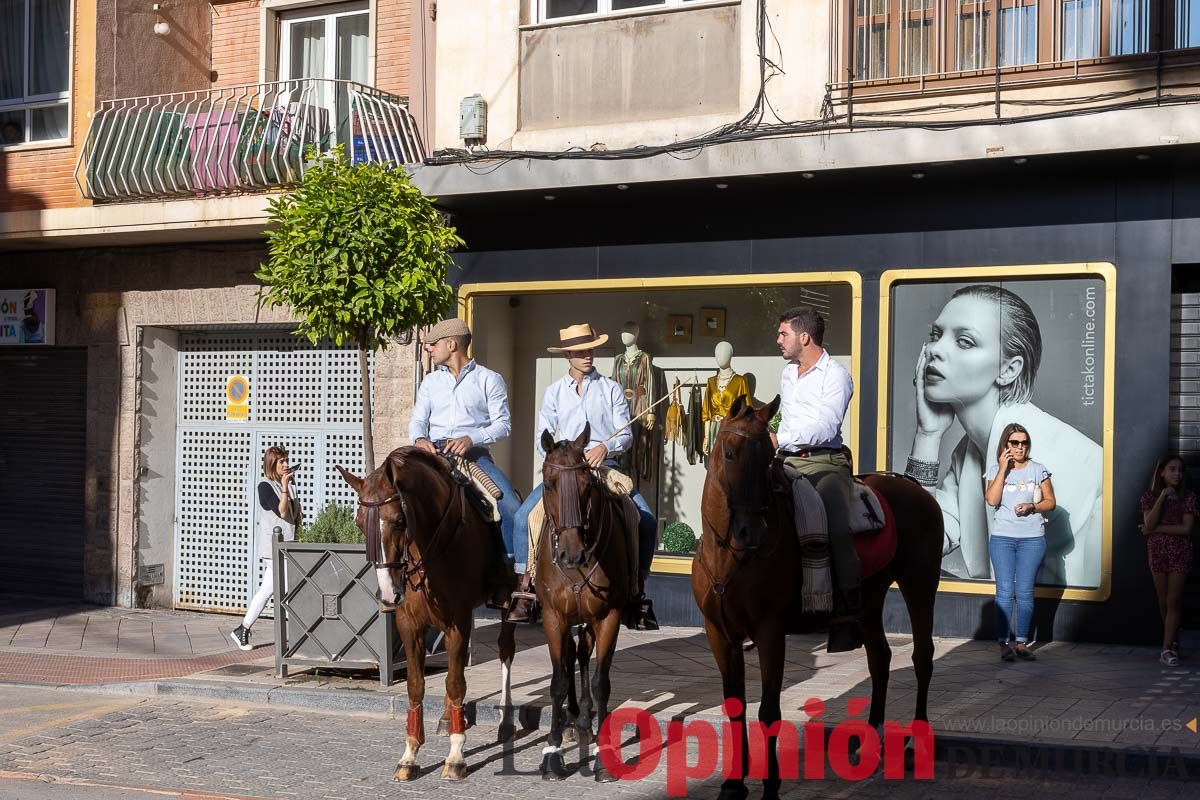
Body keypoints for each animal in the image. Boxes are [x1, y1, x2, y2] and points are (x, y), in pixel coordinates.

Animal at [336, 450, 518, 782]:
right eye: (359, 523)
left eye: (398, 521)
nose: (388, 594)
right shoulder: (409, 626)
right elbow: (416, 684)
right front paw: (409, 755)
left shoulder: (458, 620)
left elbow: (456, 683)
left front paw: (456, 756)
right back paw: (447, 718)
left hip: (508, 602)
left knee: (505, 651)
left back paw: (505, 719)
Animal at [535, 424, 638, 782]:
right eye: (549, 483)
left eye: (586, 485)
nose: (571, 554)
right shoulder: (553, 617)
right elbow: (557, 681)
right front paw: (552, 754)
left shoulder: (609, 617)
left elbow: (600, 681)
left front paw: (603, 756)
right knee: (569, 659)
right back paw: (572, 721)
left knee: (581, 656)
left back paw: (583, 721)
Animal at [696, 398, 945, 796]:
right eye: (731, 453)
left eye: (767, 458)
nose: (751, 530)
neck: (730, 555)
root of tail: (914, 488)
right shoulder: (719, 634)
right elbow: (735, 705)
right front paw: (734, 782)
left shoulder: (770, 633)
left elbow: (769, 711)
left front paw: (771, 785)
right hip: (870, 598)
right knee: (881, 658)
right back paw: (871, 739)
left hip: (919, 583)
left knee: (922, 657)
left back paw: (914, 744)